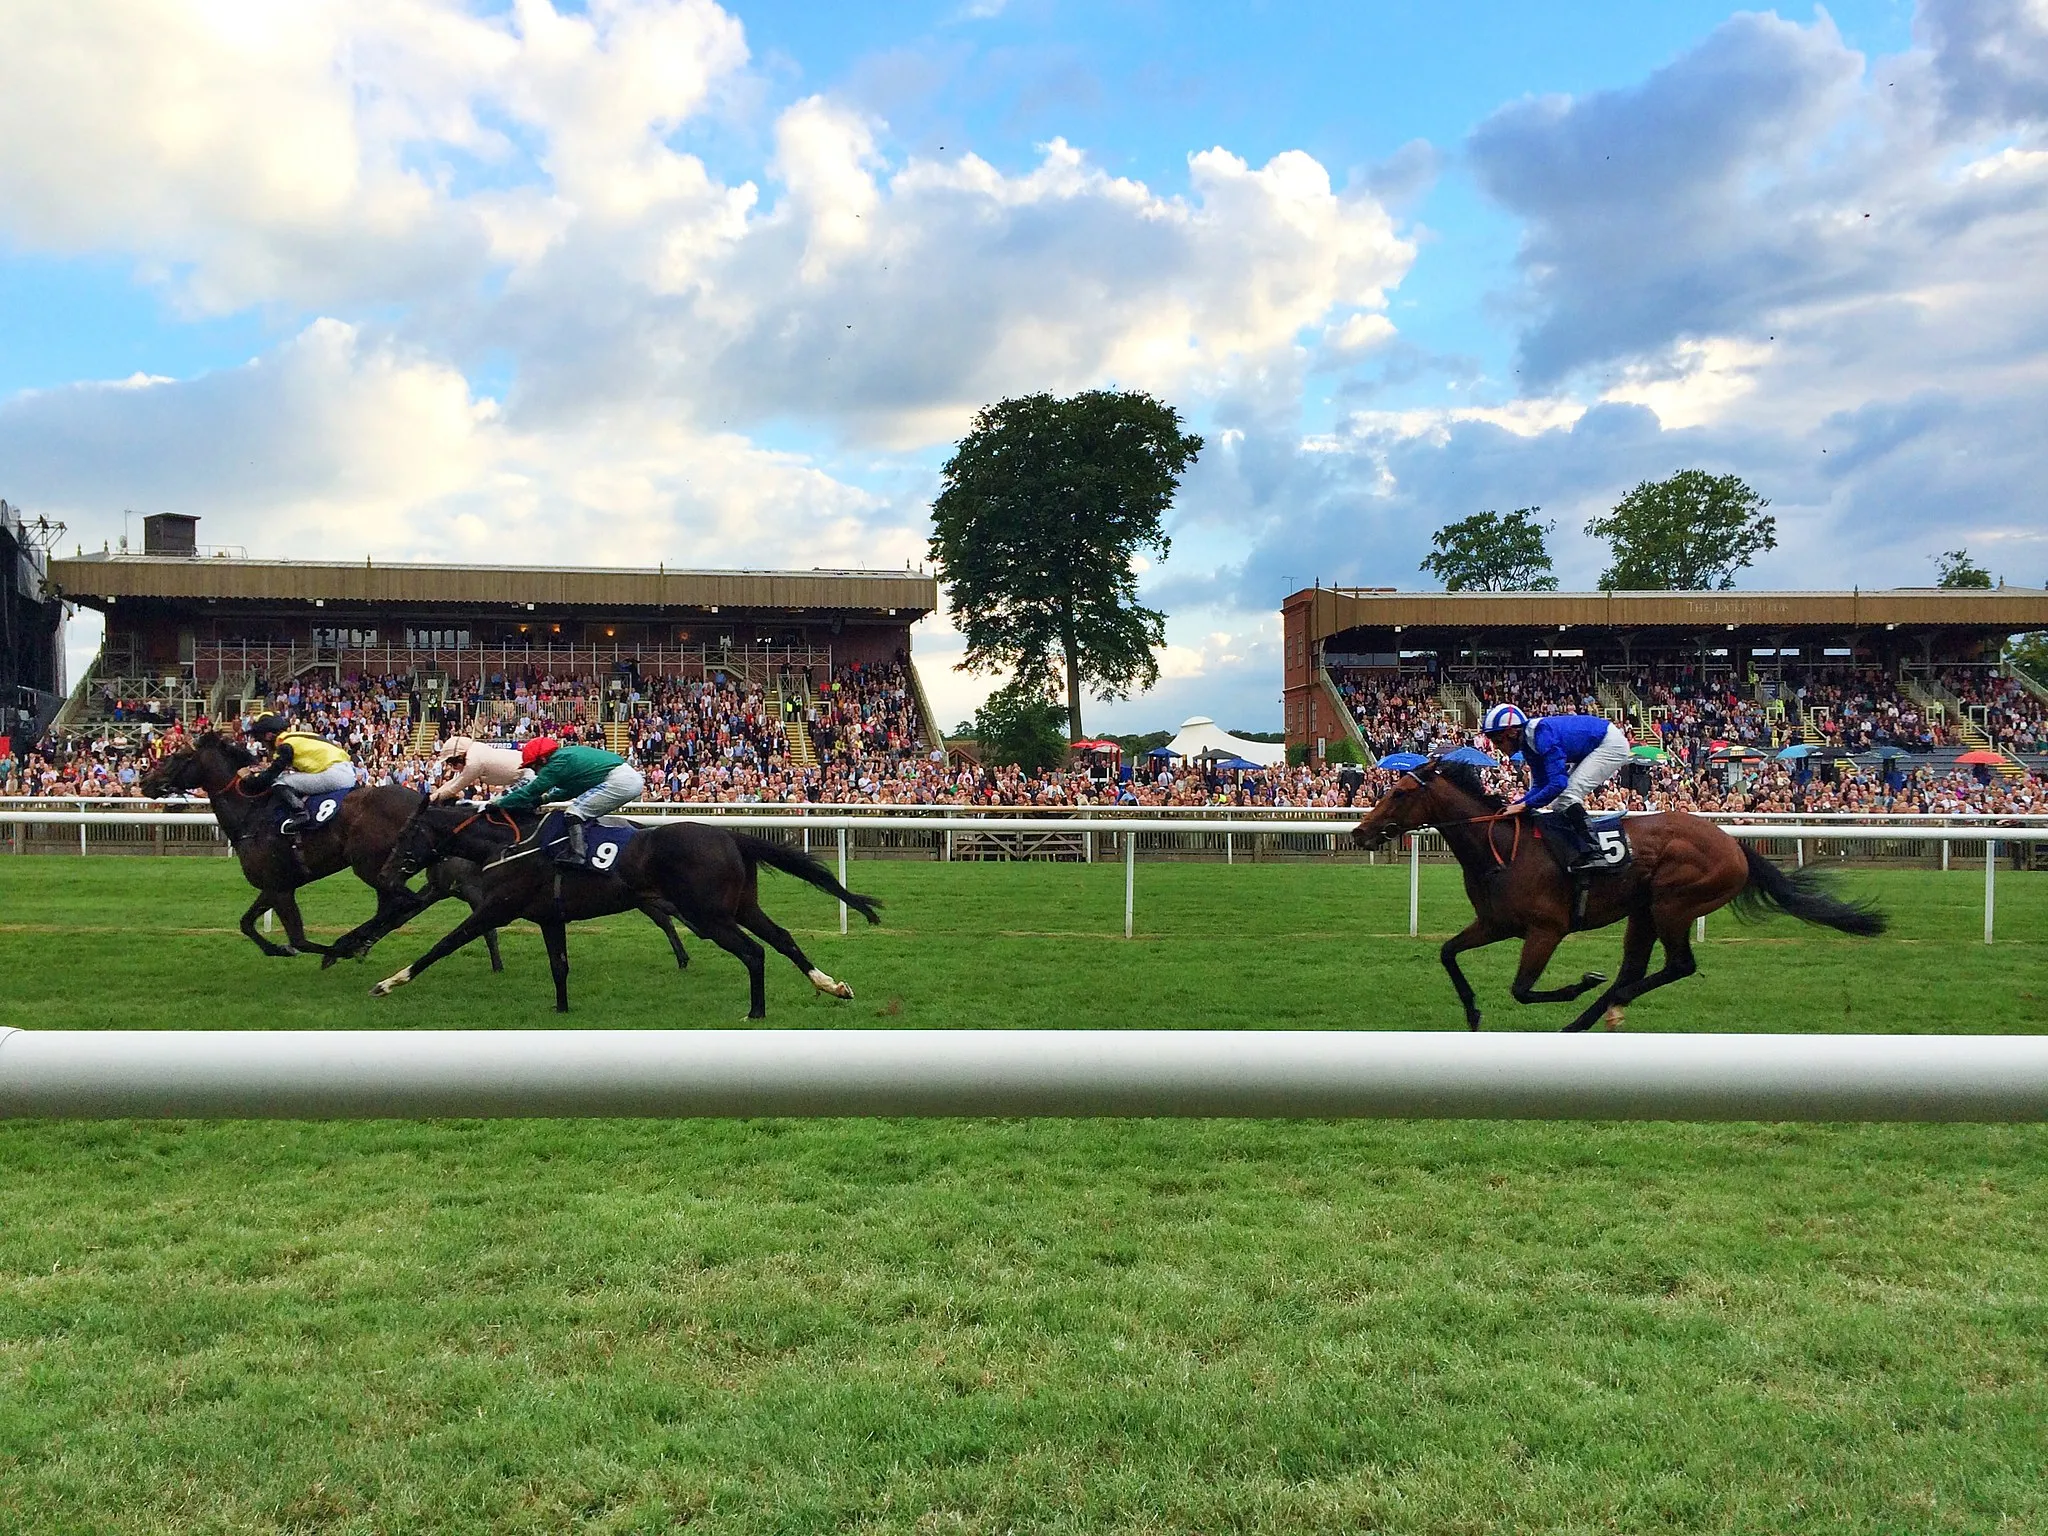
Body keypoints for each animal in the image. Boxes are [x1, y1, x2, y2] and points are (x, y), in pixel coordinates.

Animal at [374, 806, 880, 1024]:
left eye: (407, 834)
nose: (385, 872)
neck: (508, 845)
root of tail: (730, 836)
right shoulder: (549, 917)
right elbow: (559, 965)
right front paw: (561, 1008)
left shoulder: (495, 909)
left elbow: (442, 944)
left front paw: (388, 983)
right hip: (741, 906)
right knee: (783, 938)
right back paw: (831, 986)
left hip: (709, 916)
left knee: (754, 952)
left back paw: (756, 1011)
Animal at [1351, 761, 1875, 1036]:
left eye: (1399, 793)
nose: (1359, 832)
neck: (1499, 847)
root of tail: (1734, 844)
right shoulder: (1495, 924)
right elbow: (1447, 952)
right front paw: (1473, 1011)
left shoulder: (1547, 929)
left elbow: (1522, 989)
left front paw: (1578, 983)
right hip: (1643, 911)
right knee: (1636, 968)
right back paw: (1592, 1016)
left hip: (1672, 903)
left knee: (1677, 965)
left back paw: (1599, 1005)